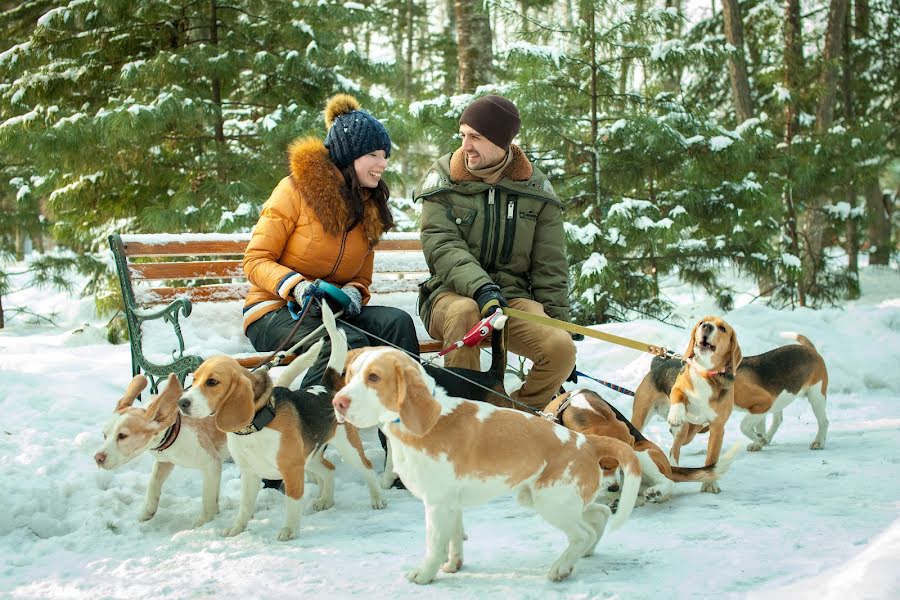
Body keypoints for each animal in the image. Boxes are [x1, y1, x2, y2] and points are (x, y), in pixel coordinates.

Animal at [94, 372, 229, 528]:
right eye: (104, 435)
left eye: (122, 436)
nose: (98, 458)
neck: (175, 431)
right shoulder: (164, 462)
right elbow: (153, 485)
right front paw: (146, 514)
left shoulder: (211, 463)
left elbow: (208, 499)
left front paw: (201, 525)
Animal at [178, 302, 384, 540]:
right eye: (194, 379)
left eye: (212, 382)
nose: (181, 402)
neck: (256, 426)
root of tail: (325, 388)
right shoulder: (250, 472)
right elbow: (245, 507)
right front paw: (237, 529)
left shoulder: (292, 469)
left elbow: (292, 502)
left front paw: (290, 530)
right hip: (310, 456)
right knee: (329, 469)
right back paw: (326, 500)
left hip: (347, 447)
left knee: (367, 467)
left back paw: (377, 498)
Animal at [336, 350, 640, 584]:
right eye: (349, 374)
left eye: (374, 377)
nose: (337, 402)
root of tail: (587, 441)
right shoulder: (452, 505)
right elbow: (454, 539)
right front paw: (454, 565)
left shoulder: (436, 504)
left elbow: (435, 544)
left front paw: (424, 575)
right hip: (552, 500)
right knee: (599, 515)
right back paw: (584, 554)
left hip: (551, 503)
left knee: (582, 533)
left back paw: (561, 568)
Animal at [540, 390, 740, 506]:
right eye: (604, 465)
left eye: (618, 465)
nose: (613, 488)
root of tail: (669, 466)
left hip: (641, 454)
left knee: (668, 483)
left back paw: (653, 492)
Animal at [628, 314, 740, 492]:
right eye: (702, 322)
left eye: (723, 328)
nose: (707, 326)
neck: (705, 373)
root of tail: (660, 363)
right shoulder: (678, 388)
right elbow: (678, 396)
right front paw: (676, 415)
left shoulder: (717, 428)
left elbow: (712, 458)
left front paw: (710, 484)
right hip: (645, 418)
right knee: (674, 448)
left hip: (691, 431)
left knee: (676, 447)